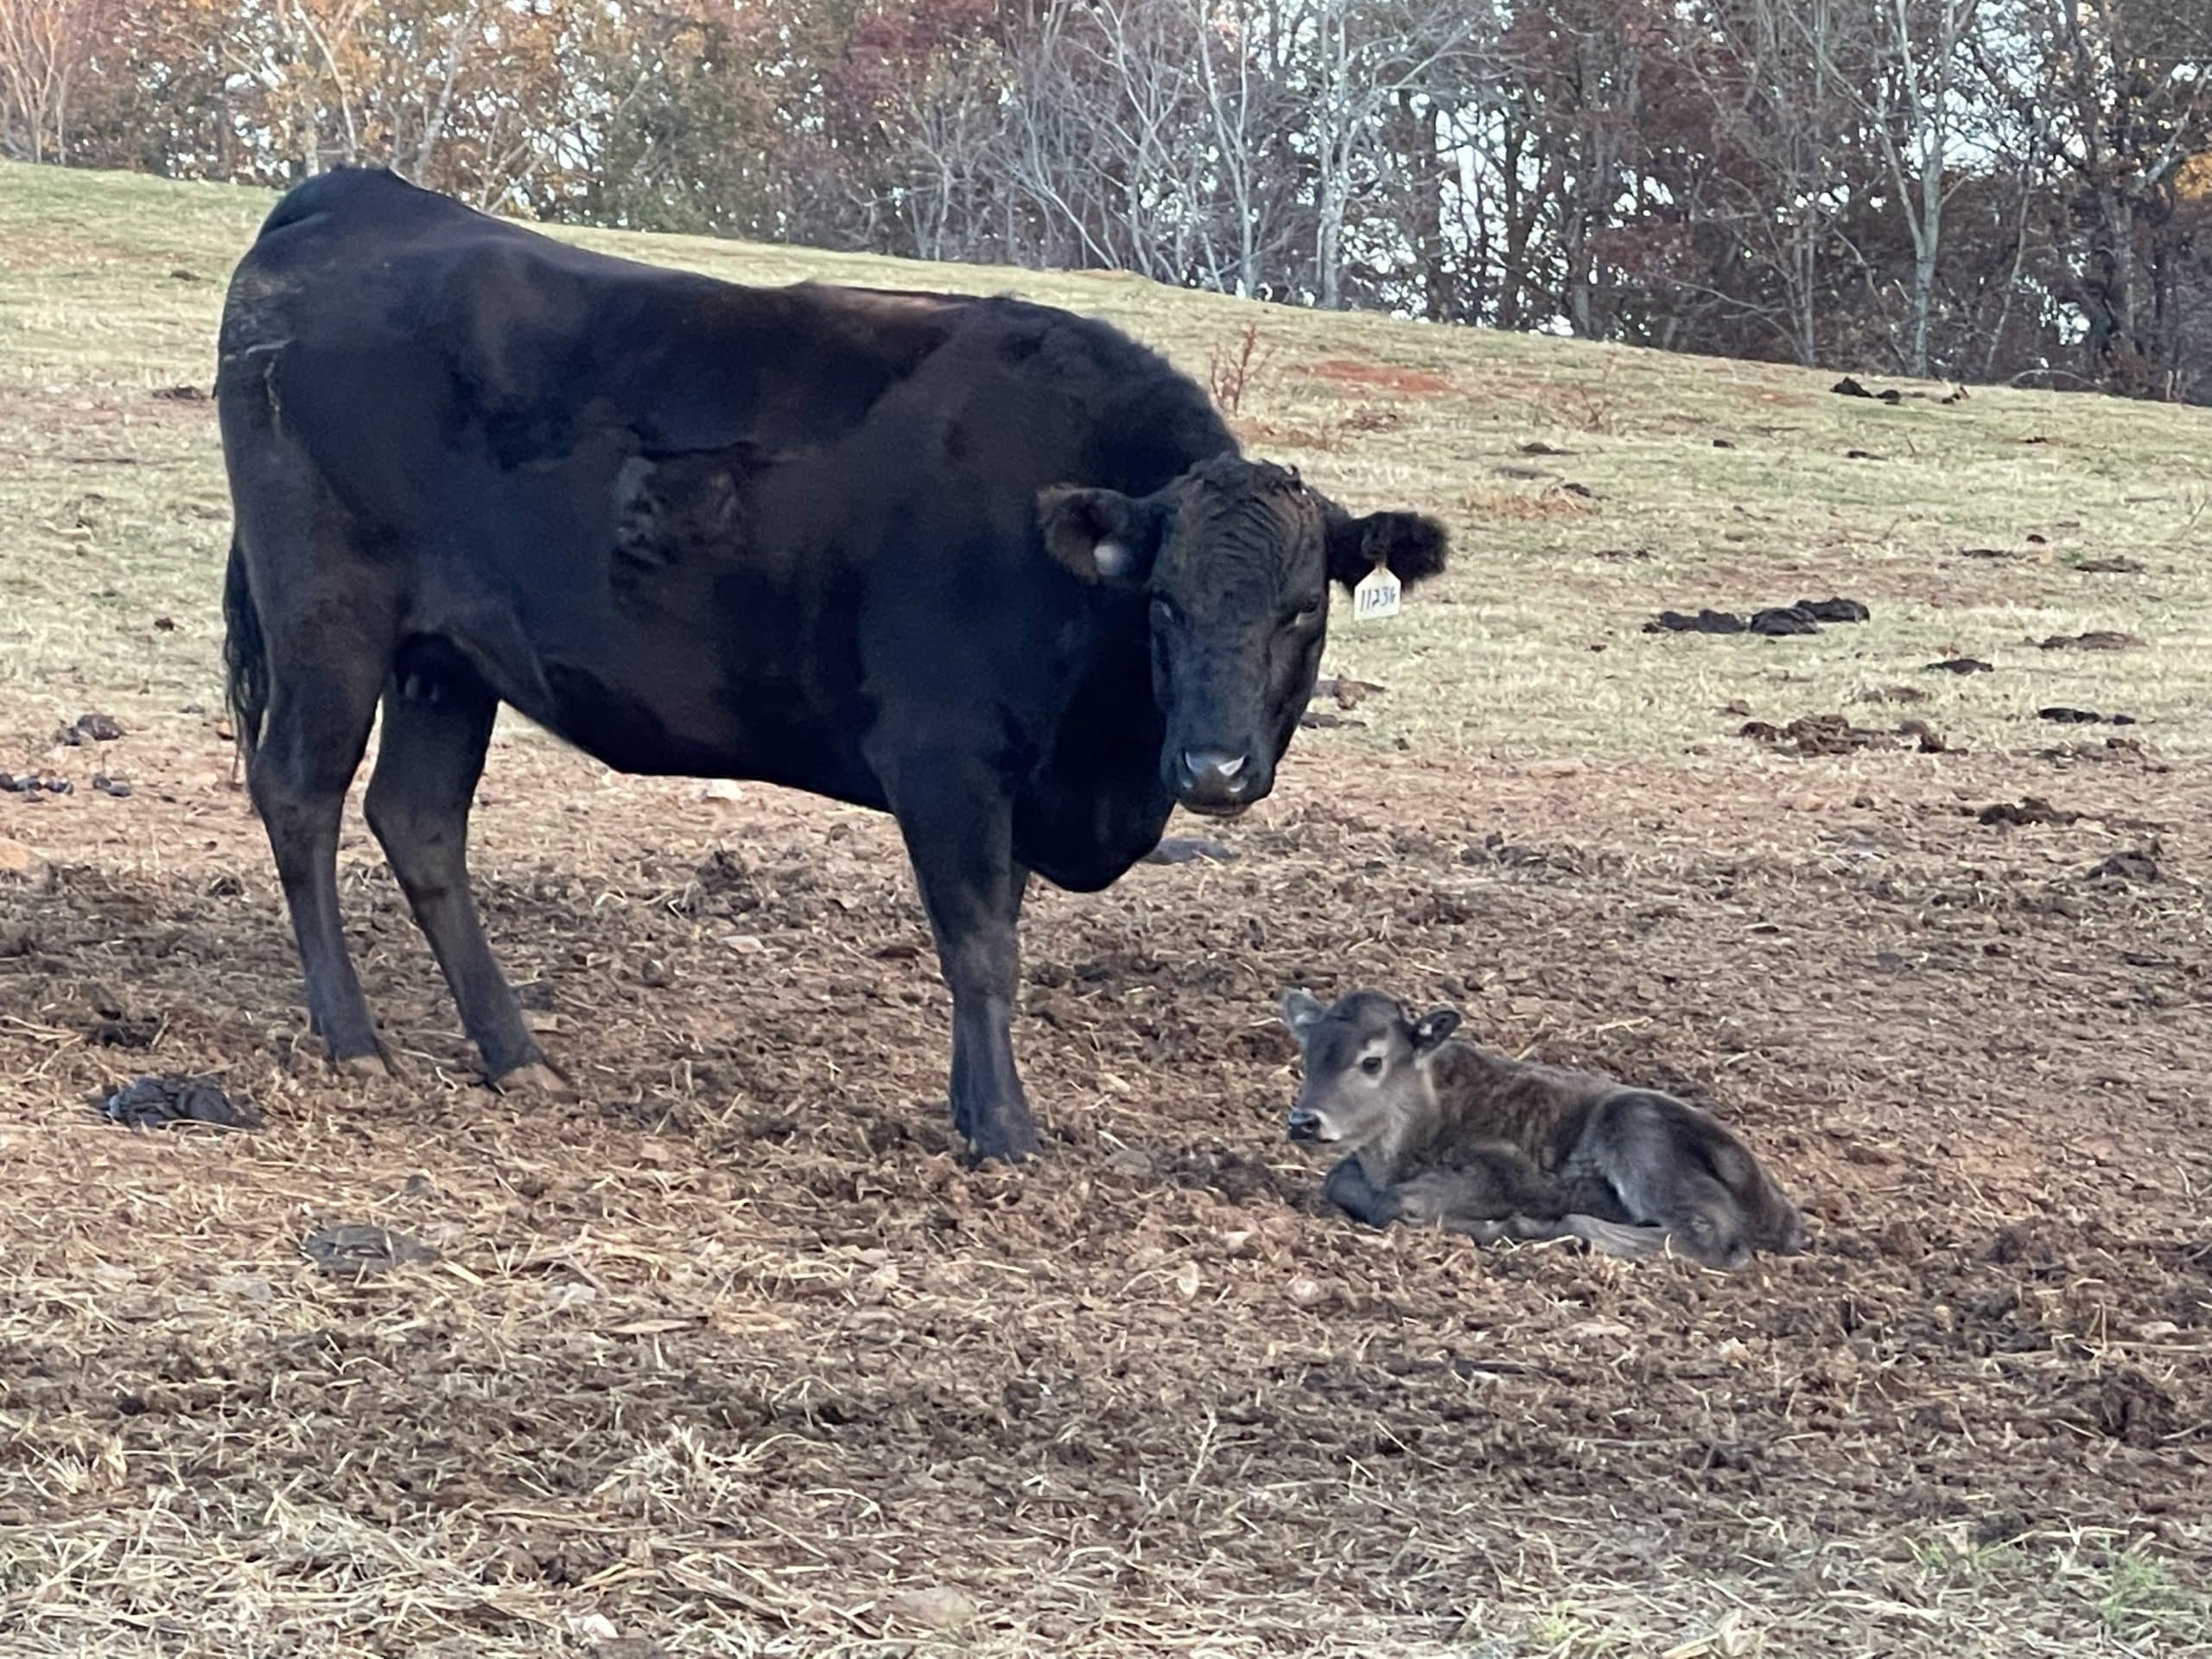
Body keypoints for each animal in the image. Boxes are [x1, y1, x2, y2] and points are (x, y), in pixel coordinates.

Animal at [215, 168, 1442, 1159]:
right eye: (1163, 604)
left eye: (1300, 612)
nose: (1215, 769)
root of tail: (355, 196)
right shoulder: (945, 760)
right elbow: (981, 947)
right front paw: (1006, 1131)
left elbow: (998, 937)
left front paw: (974, 1109)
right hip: (329, 616)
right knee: (301, 794)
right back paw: (352, 1037)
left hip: (447, 657)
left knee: (419, 821)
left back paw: (516, 1053)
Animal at [1274, 986, 1804, 1274]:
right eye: (1308, 1053)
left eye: (1372, 1061)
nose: (1304, 1121)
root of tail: (1785, 1215)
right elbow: (1339, 1180)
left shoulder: (1502, 1170)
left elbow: (1398, 1202)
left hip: (1636, 1126)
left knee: (1705, 1233)